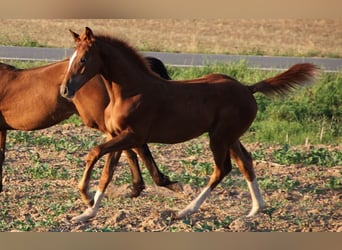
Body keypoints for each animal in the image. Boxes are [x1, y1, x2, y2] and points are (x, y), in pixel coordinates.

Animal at [0, 56, 178, 197]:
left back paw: (162, 183)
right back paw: (137, 188)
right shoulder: (2, 129)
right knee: (131, 149)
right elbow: (2, 156)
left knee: (136, 147)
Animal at [59, 27, 318, 223]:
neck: (130, 92)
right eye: (70, 59)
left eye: (83, 59)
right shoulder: (117, 135)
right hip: (230, 136)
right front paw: (87, 213)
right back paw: (255, 209)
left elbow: (94, 153)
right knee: (245, 161)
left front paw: (85, 196)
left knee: (222, 169)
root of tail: (247, 88)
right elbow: (107, 173)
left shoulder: (133, 136)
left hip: (219, 137)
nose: (65, 90)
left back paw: (186, 211)